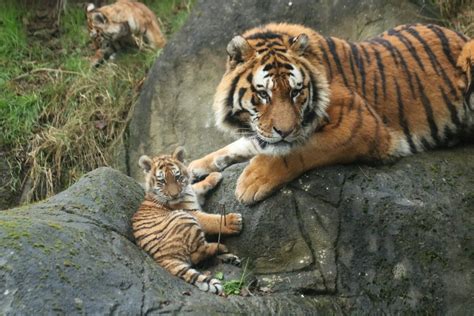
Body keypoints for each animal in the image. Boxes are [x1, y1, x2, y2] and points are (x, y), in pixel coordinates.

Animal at [133, 147, 244, 296]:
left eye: (178, 177)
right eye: (162, 182)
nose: (174, 195)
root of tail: (161, 258)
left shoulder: (191, 193)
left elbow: (197, 185)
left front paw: (214, 175)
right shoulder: (192, 212)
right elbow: (212, 220)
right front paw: (234, 221)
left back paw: (229, 257)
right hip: (183, 218)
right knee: (197, 254)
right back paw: (222, 248)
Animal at [188, 22, 474, 205]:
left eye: (296, 92)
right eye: (264, 95)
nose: (285, 131)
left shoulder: (360, 126)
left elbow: (297, 151)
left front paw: (251, 182)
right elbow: (239, 145)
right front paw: (194, 166)